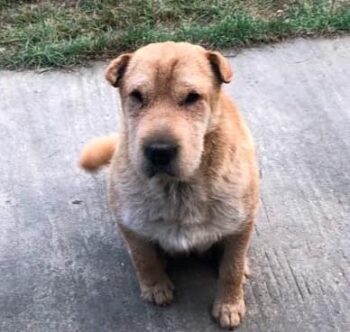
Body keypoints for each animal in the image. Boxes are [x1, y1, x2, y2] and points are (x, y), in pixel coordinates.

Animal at [80, 42, 260, 330]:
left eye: (192, 97)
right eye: (137, 96)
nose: (159, 151)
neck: (178, 189)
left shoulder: (242, 223)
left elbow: (230, 268)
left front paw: (229, 304)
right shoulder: (129, 224)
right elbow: (143, 258)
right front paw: (155, 286)